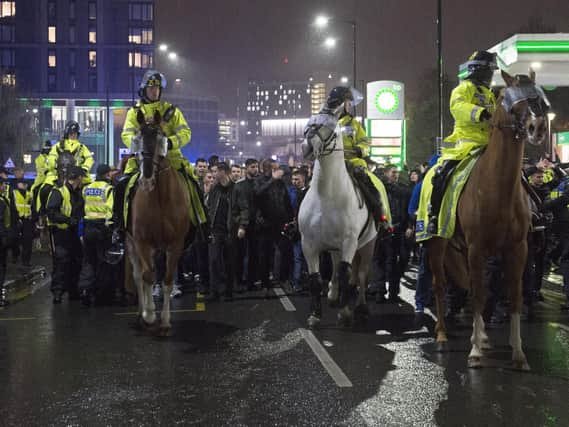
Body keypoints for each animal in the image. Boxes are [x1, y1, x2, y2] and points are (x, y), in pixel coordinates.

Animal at [125, 110, 190, 338]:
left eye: (162, 138)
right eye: (137, 138)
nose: (146, 180)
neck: (161, 199)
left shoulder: (175, 244)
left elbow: (168, 280)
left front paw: (165, 322)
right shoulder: (142, 242)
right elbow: (148, 276)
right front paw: (150, 314)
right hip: (131, 243)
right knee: (139, 276)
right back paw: (141, 314)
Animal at [298, 113, 378, 328]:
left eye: (331, 129)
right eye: (309, 123)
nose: (307, 147)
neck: (326, 195)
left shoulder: (349, 242)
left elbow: (346, 273)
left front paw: (345, 313)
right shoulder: (308, 244)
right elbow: (316, 279)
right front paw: (315, 315)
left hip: (367, 244)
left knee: (361, 274)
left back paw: (360, 307)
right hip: (334, 246)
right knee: (335, 267)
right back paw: (334, 296)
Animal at [428, 71, 548, 372]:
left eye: (541, 99)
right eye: (512, 101)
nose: (538, 127)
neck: (497, 189)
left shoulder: (518, 249)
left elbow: (513, 295)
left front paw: (518, 353)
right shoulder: (476, 248)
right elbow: (480, 295)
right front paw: (474, 353)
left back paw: (481, 337)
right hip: (437, 244)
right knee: (440, 285)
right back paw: (442, 335)